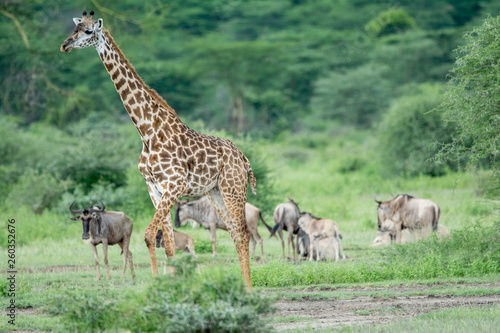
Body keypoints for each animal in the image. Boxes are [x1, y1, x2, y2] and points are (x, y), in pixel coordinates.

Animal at [60, 10, 256, 288]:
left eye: (88, 32)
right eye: (74, 29)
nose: (65, 45)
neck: (147, 131)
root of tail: (244, 158)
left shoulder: (174, 186)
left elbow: (150, 235)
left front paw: (158, 284)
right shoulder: (155, 188)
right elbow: (169, 243)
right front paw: (172, 287)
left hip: (233, 188)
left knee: (243, 232)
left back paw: (249, 289)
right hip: (215, 191)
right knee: (235, 233)